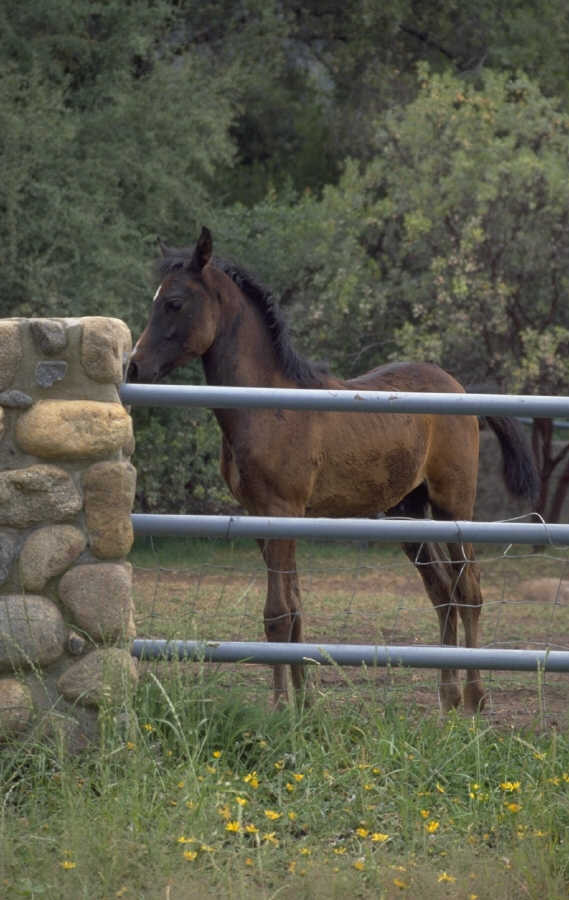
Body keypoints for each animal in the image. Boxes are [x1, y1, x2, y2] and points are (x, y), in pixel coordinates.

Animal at [127, 226, 538, 714]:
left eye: (173, 302)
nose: (134, 365)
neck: (269, 404)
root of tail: (461, 391)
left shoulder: (282, 512)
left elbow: (277, 614)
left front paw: (282, 708)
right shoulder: (260, 517)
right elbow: (294, 609)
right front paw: (304, 706)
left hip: (453, 507)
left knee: (469, 590)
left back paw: (475, 698)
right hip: (408, 513)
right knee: (442, 594)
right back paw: (448, 697)